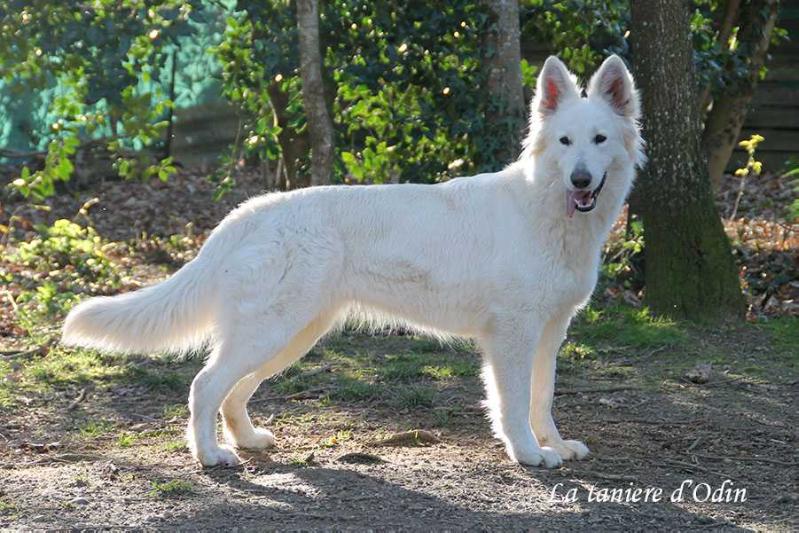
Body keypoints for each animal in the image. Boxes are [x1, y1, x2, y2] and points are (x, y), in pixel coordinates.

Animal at [65, 55, 648, 466]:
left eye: (599, 140)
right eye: (564, 142)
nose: (580, 179)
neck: (546, 211)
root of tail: (246, 215)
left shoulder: (549, 332)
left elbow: (542, 397)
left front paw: (555, 444)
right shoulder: (511, 337)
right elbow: (513, 405)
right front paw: (528, 454)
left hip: (293, 335)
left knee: (232, 392)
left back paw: (248, 439)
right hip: (274, 332)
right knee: (204, 386)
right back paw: (211, 456)